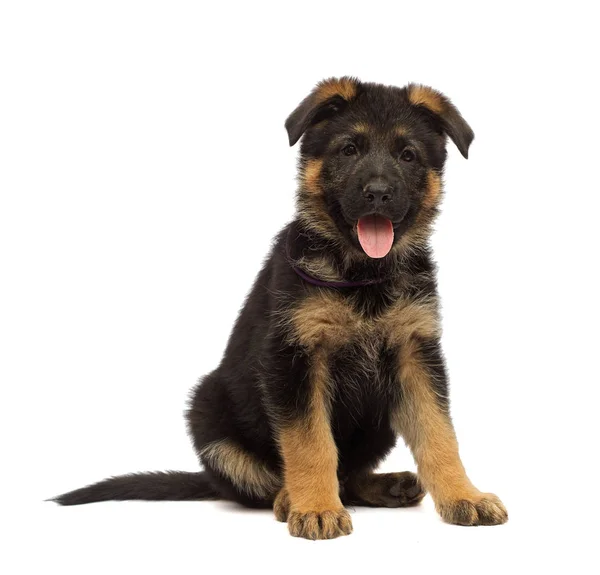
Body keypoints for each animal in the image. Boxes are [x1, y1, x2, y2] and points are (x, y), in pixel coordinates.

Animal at [55, 76, 506, 540]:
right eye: (349, 149)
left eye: (408, 155)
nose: (378, 194)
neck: (361, 275)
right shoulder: (293, 358)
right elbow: (310, 443)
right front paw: (317, 507)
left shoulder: (415, 356)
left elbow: (439, 433)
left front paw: (464, 496)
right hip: (208, 413)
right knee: (267, 482)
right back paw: (292, 497)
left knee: (350, 476)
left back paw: (385, 486)